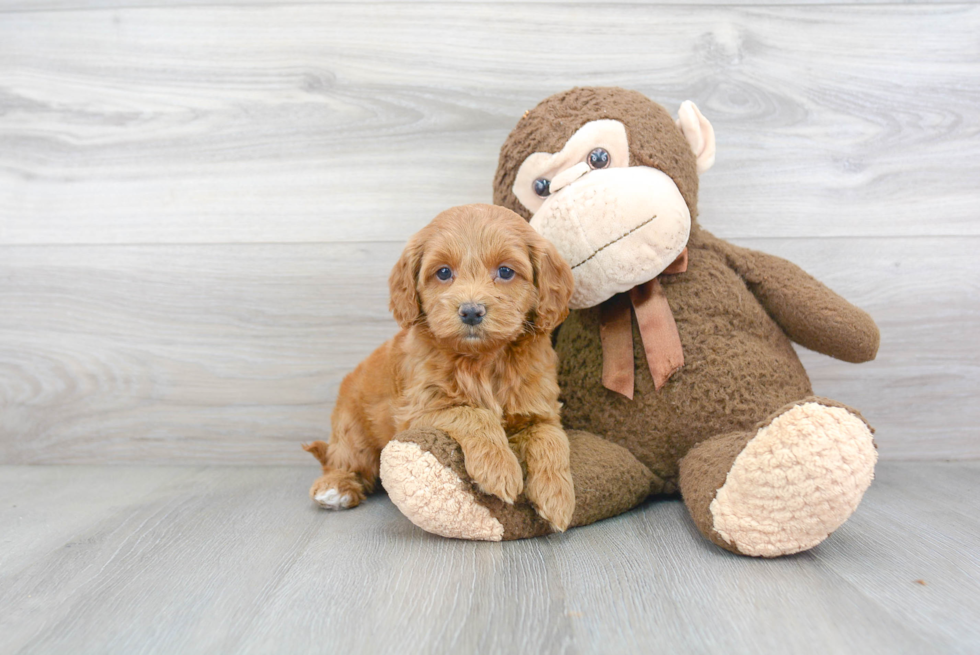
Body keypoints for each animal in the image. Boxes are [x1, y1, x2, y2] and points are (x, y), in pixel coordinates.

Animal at [302, 202, 580, 532]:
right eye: (444, 272)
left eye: (505, 271)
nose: (471, 311)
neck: (482, 360)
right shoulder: (419, 410)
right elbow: (473, 413)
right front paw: (498, 467)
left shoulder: (540, 409)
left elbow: (552, 439)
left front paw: (558, 497)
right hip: (353, 430)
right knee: (343, 460)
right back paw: (336, 488)